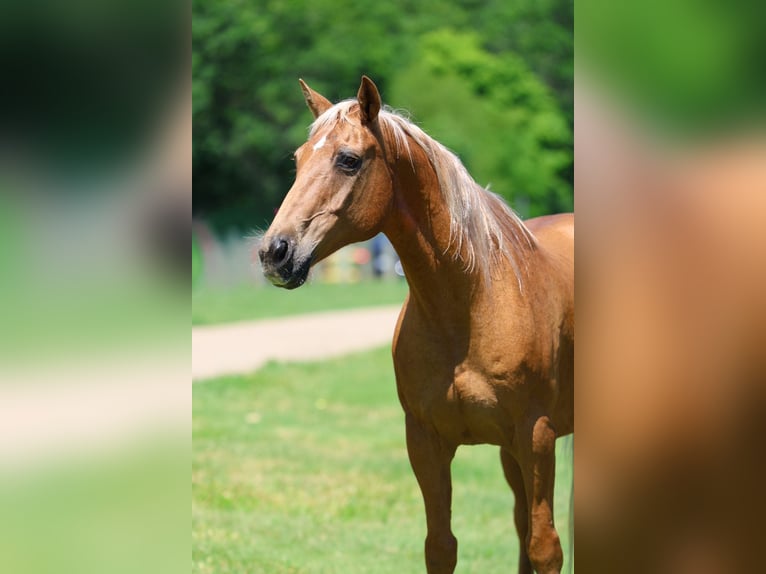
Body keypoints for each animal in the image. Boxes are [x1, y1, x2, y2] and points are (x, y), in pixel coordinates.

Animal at [258, 76, 574, 574]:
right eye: (298, 159)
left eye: (348, 160)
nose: (275, 252)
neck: (471, 304)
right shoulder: (426, 442)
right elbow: (441, 546)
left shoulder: (536, 436)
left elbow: (545, 548)